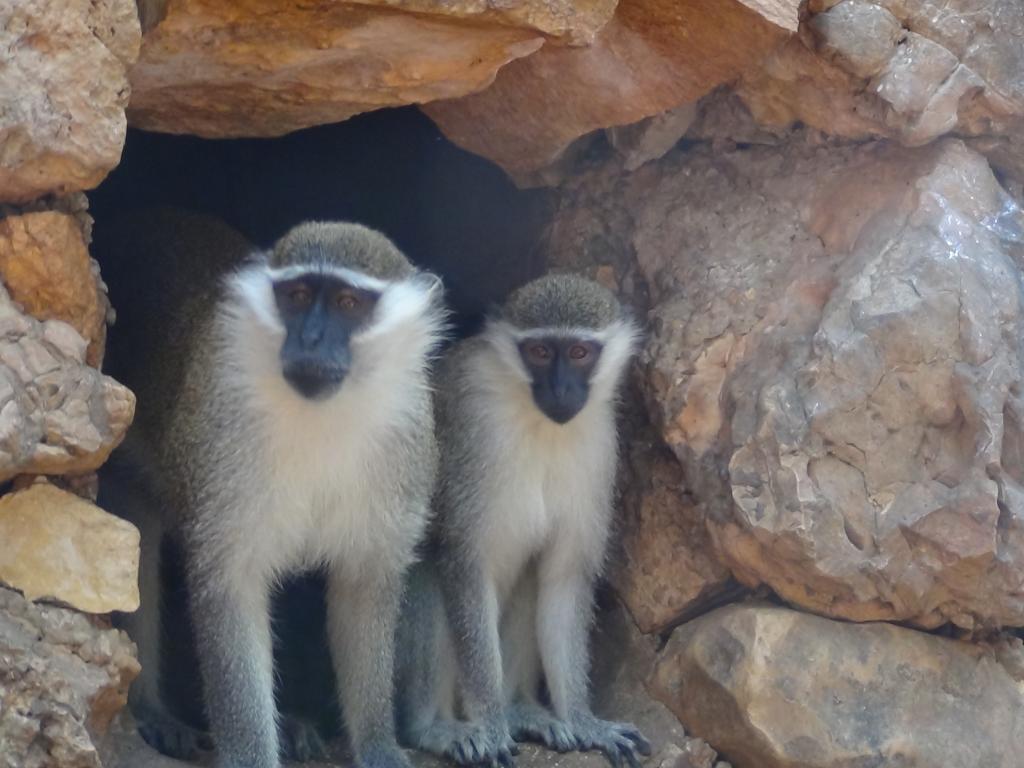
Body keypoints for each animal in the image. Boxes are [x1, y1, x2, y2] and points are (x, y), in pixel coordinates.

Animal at [98, 208, 444, 768]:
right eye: (298, 296)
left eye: (348, 303)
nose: (310, 339)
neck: (324, 417)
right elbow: (230, 592)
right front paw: (250, 753)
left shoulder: (407, 451)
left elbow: (364, 590)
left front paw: (377, 744)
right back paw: (151, 709)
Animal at [395, 274, 651, 768]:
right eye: (540, 352)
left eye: (579, 353)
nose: (561, 391)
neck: (538, 422)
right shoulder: (473, 426)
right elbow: (464, 565)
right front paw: (491, 726)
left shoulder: (599, 443)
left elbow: (563, 577)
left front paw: (585, 720)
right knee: (431, 570)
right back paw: (436, 727)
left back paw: (519, 710)